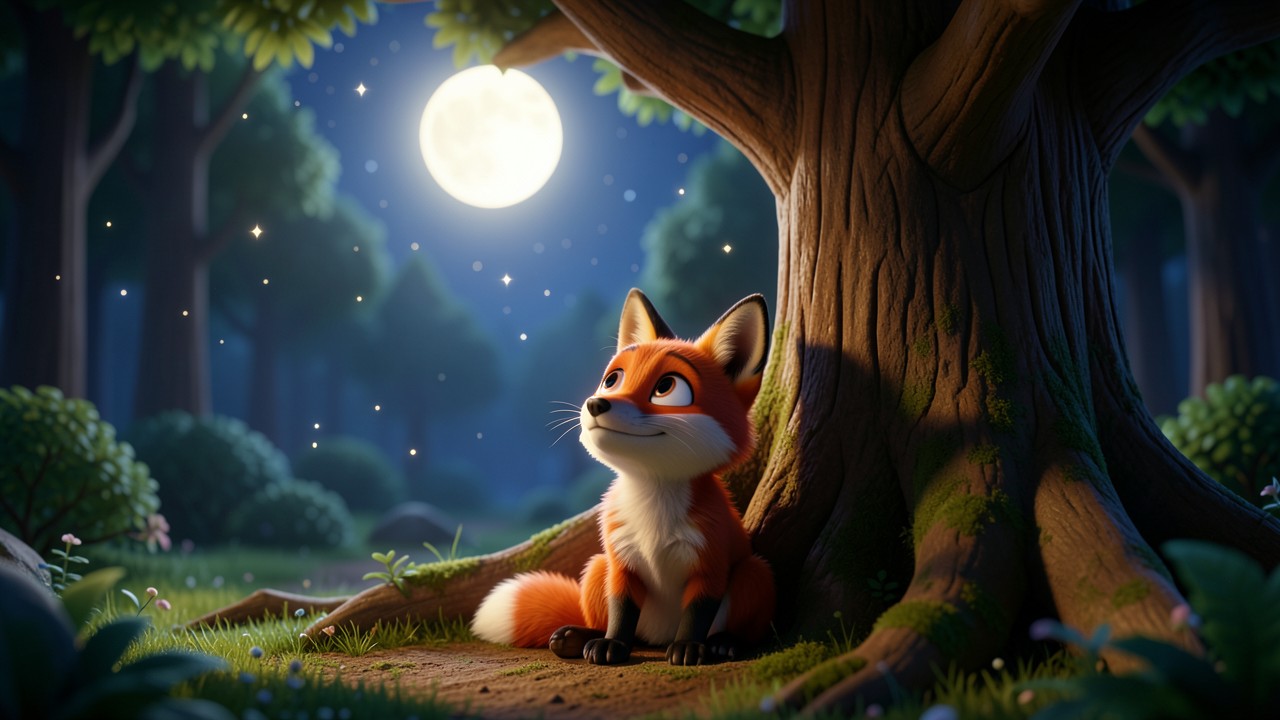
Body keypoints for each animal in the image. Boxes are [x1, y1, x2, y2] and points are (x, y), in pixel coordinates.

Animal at [471, 288, 775, 666]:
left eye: (667, 388)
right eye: (612, 380)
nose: (595, 403)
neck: (653, 506)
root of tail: (658, 638)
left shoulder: (710, 563)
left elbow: (696, 614)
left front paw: (690, 647)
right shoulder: (621, 561)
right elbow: (621, 613)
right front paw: (611, 645)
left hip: (754, 574)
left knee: (745, 625)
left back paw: (724, 643)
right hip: (596, 567)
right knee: (612, 623)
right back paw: (578, 637)